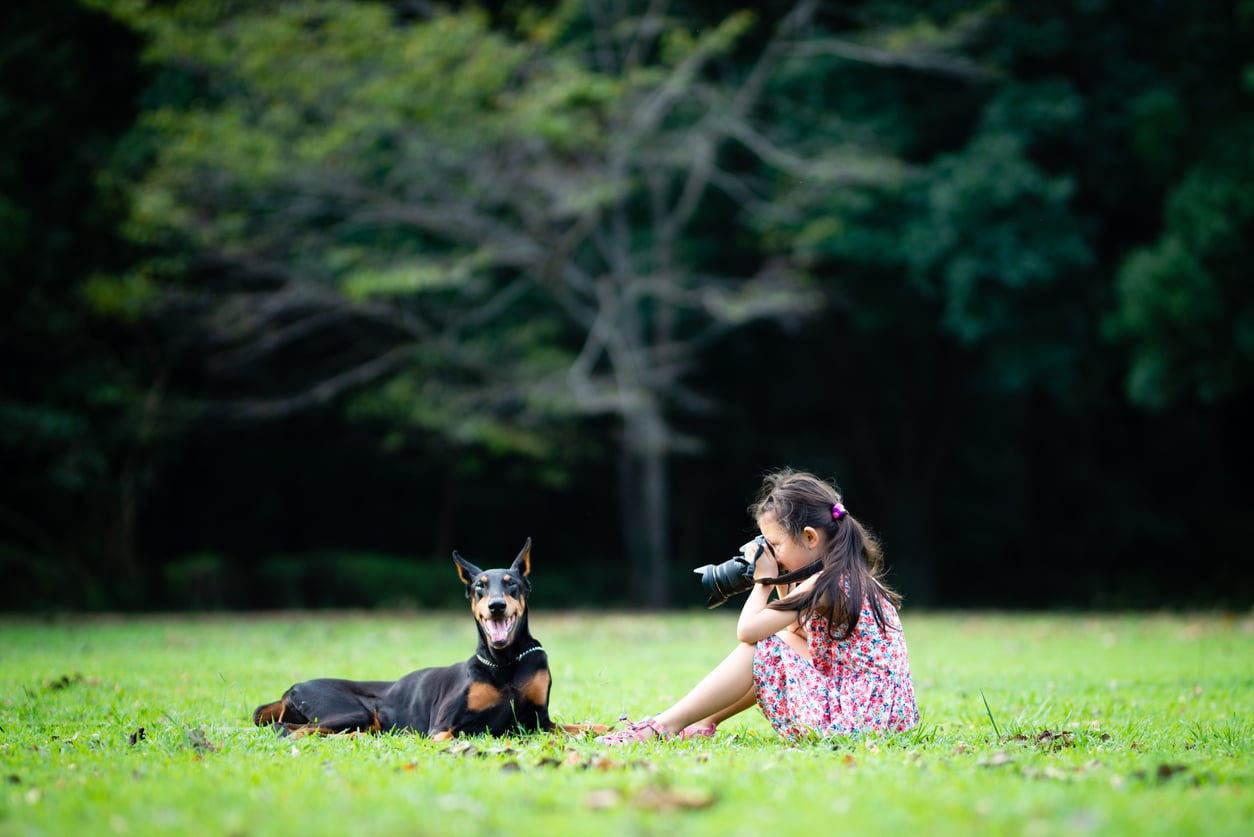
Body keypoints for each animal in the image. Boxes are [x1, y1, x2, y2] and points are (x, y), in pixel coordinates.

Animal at [252, 537, 556, 737]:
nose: (496, 606)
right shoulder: (441, 727)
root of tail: (292, 689)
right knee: (291, 730)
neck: (505, 662)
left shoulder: (540, 721)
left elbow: (567, 728)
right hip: (352, 713)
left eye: (511, 584)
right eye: (479, 587)